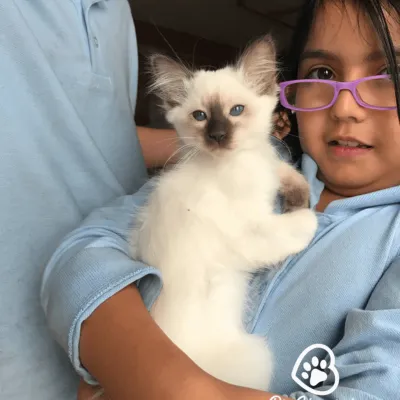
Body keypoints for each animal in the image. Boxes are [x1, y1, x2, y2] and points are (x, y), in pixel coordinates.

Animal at [131, 35, 318, 390]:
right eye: (200, 116)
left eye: (236, 111)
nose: (218, 136)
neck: (243, 161)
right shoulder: (250, 234)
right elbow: (298, 224)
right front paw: (307, 214)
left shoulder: (267, 160)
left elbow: (287, 171)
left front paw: (298, 196)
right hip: (258, 356)